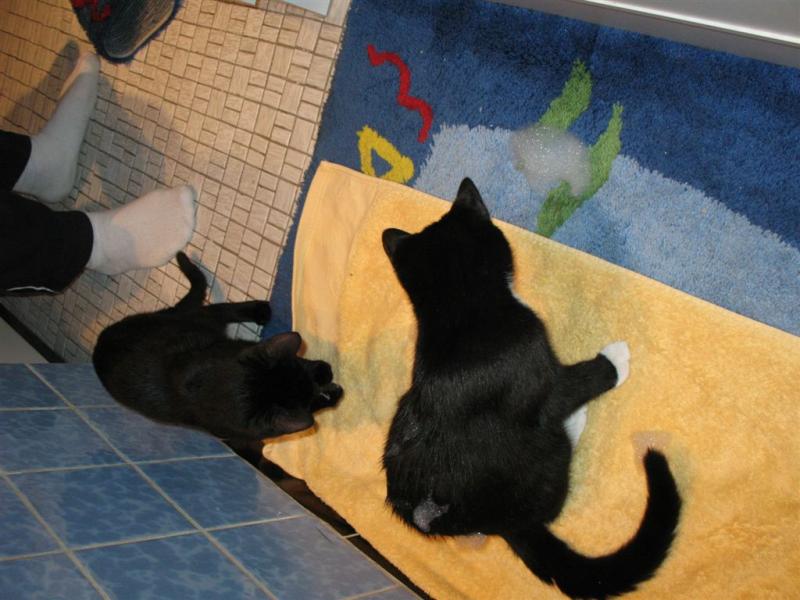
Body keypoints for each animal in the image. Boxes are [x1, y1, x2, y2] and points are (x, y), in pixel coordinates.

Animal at [93, 252, 342, 441]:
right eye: (316, 401)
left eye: (302, 362)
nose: (330, 372)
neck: (203, 386)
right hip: (202, 319)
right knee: (221, 308)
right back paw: (262, 311)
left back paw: (261, 311)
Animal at [381, 179, 681, 599]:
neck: (463, 313)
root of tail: (500, 522)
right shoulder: (537, 369)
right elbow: (573, 384)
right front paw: (615, 360)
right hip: (547, 457)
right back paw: (576, 422)